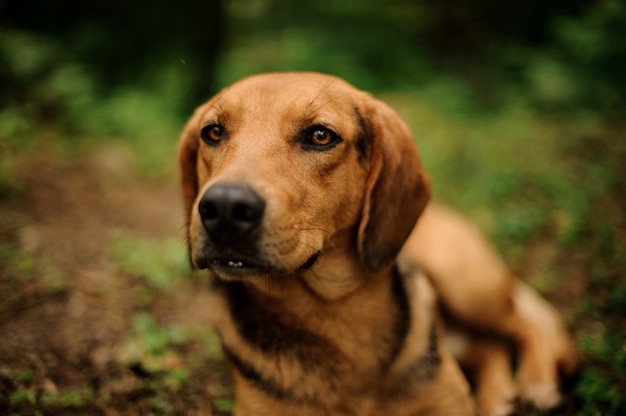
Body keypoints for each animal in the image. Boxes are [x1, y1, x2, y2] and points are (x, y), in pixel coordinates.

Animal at [177, 73, 576, 414]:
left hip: (468, 284)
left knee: (531, 320)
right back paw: (497, 396)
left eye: (320, 136)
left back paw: (538, 383)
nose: (224, 208)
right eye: (213, 132)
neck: (333, 312)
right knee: (491, 345)